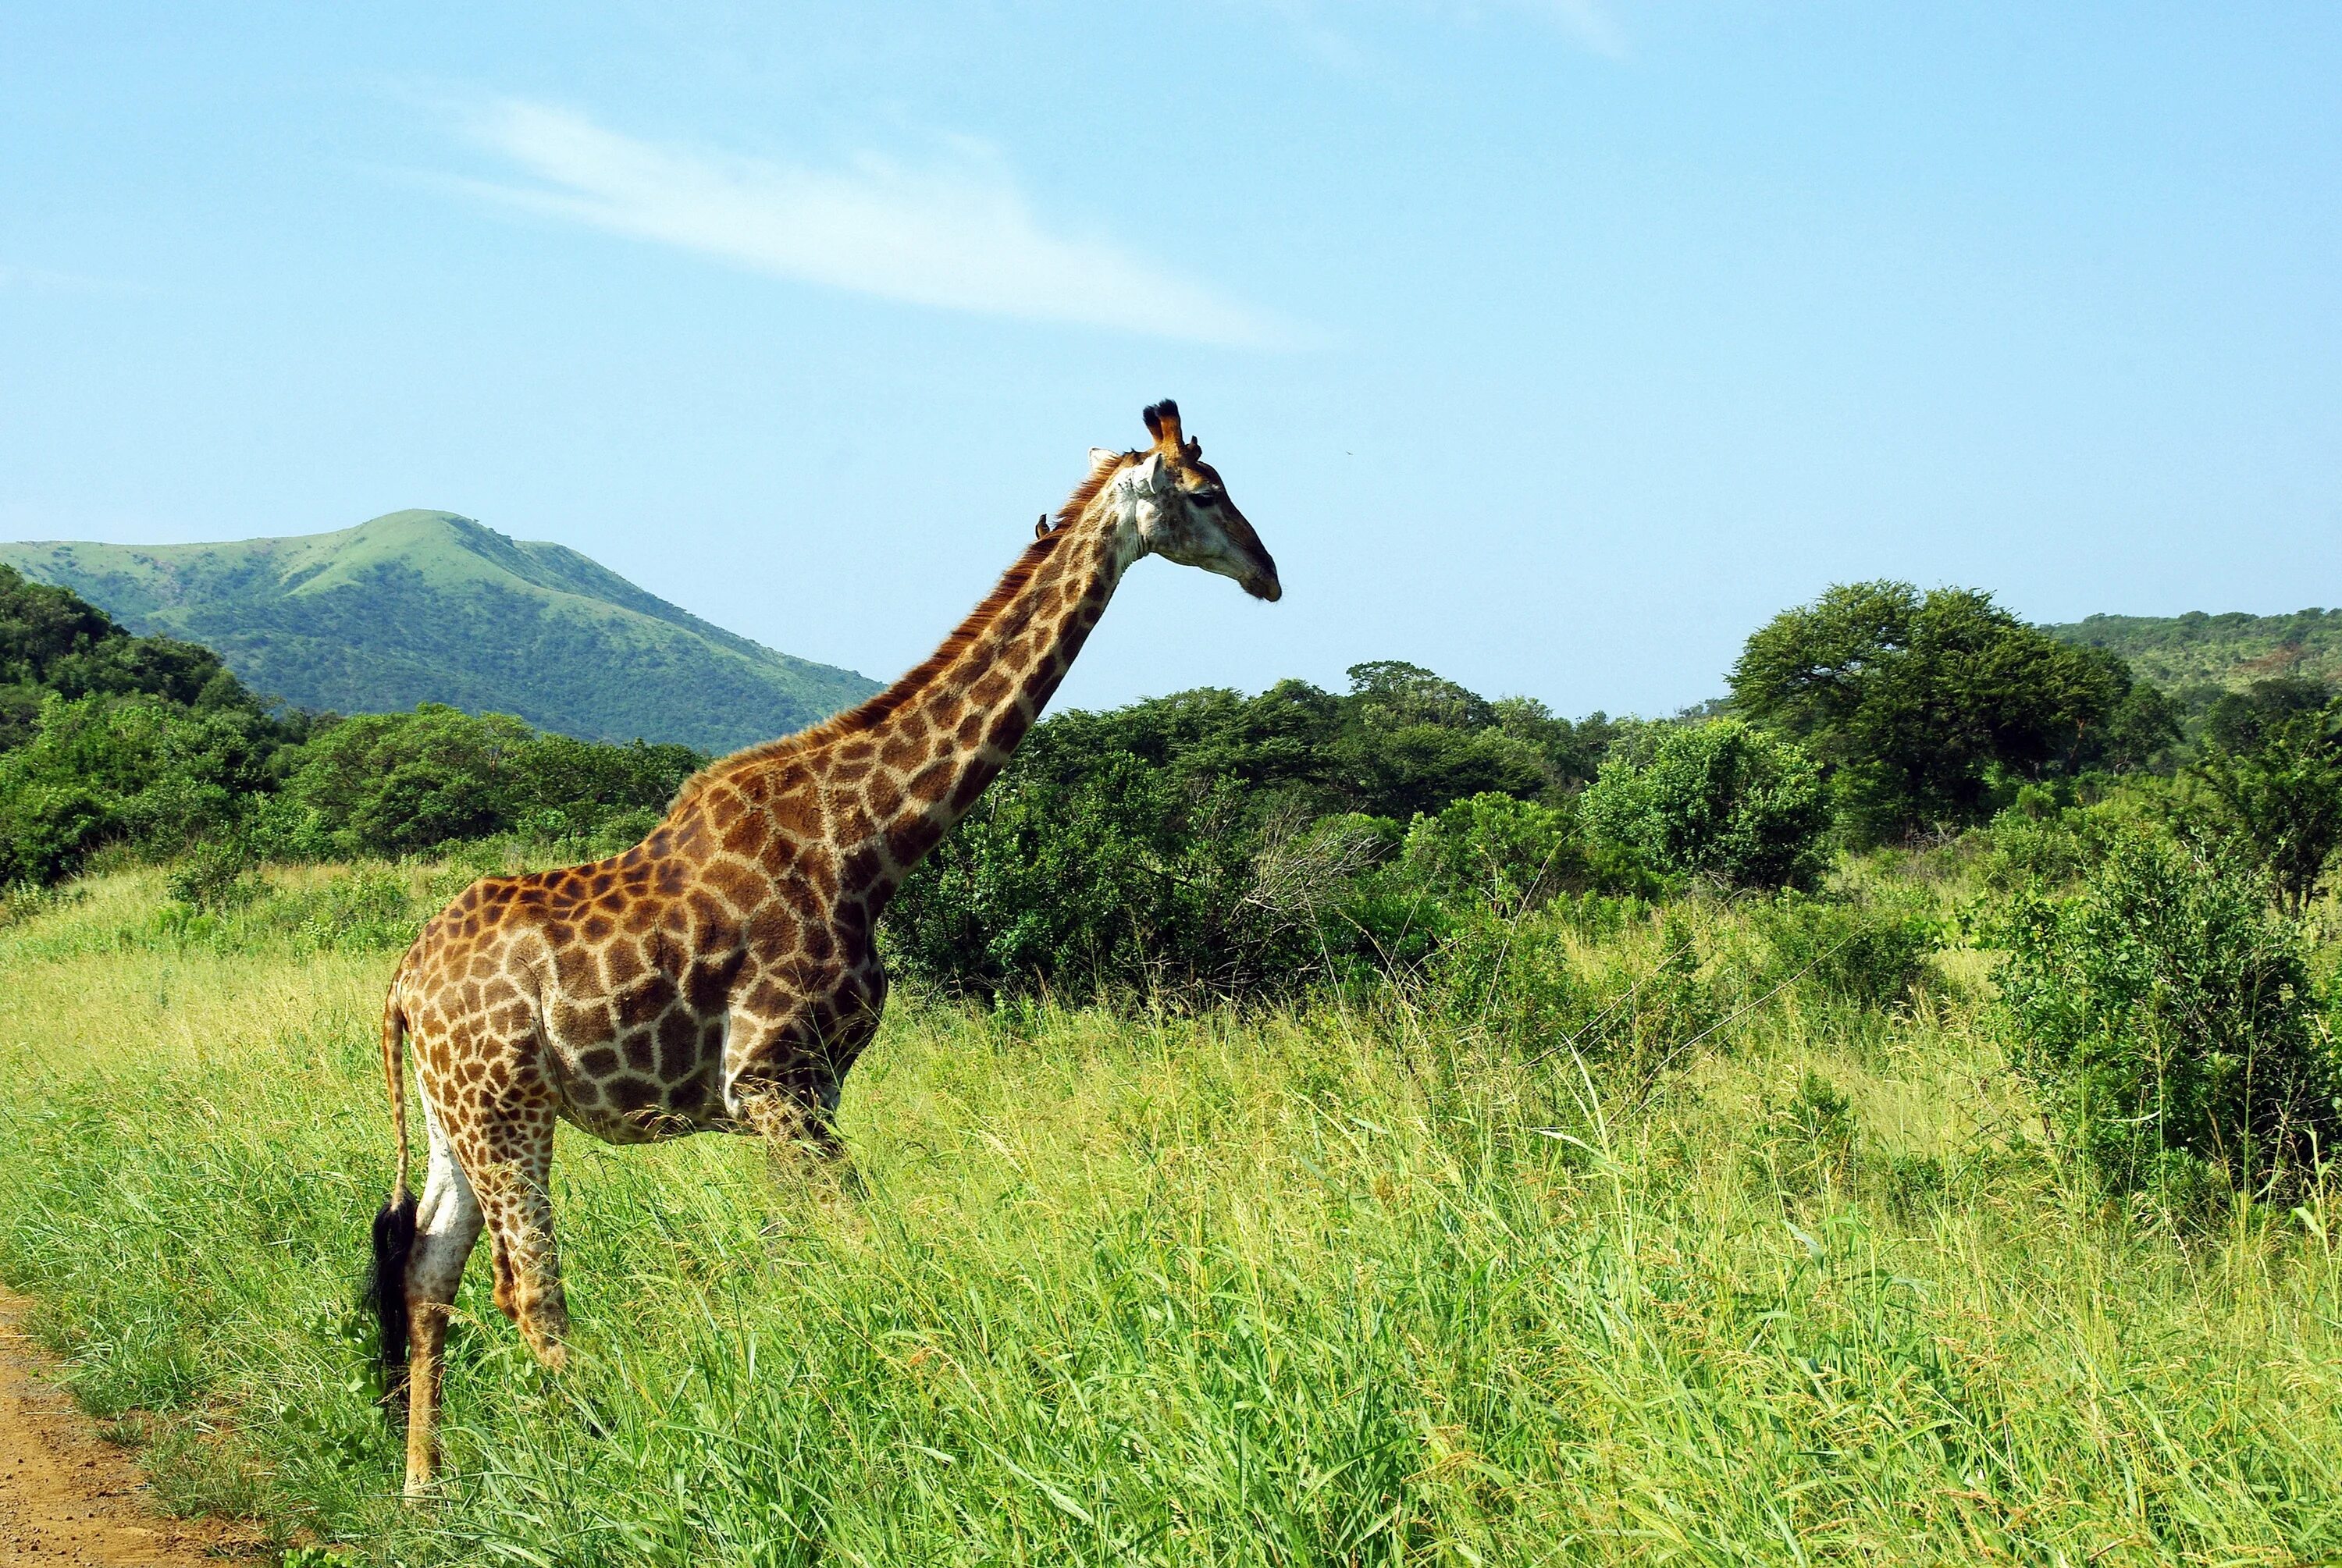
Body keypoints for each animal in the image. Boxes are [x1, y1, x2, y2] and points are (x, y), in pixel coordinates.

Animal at [372, 400, 1283, 1488]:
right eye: (1206, 491)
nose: (1271, 573)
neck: (868, 844)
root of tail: (402, 984)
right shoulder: (775, 1080)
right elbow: (854, 1236)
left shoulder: (810, 1091)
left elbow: (793, 1249)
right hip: (506, 1108)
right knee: (529, 1287)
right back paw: (594, 1454)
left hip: (456, 1114)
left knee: (430, 1268)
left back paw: (425, 1484)